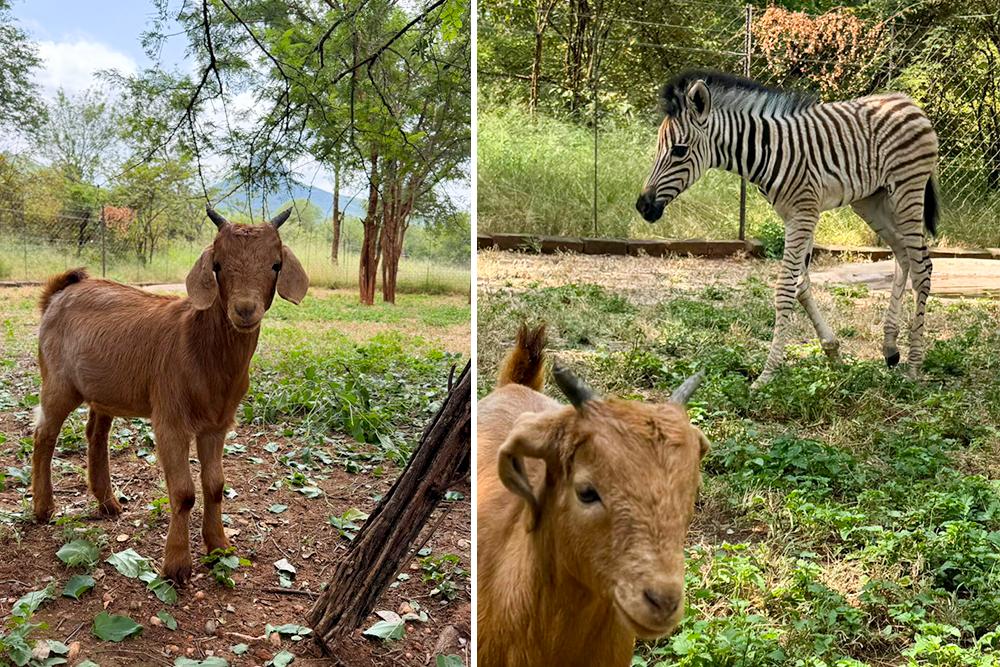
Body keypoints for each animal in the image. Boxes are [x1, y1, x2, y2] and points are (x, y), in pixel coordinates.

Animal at [31, 207, 308, 585]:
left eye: (276, 264)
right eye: (218, 264)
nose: (245, 310)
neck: (200, 346)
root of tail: (58, 294)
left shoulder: (217, 423)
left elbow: (215, 485)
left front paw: (219, 545)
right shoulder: (170, 419)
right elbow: (184, 492)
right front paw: (176, 565)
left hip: (103, 390)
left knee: (96, 434)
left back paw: (108, 502)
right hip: (57, 381)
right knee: (44, 434)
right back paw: (43, 508)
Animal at [636, 70, 939, 388]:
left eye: (679, 151)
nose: (643, 206)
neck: (766, 152)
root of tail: (907, 101)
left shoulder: (803, 214)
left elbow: (784, 289)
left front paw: (767, 374)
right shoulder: (794, 216)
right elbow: (801, 285)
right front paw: (832, 352)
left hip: (907, 191)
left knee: (922, 266)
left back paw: (914, 365)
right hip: (870, 200)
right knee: (903, 255)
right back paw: (891, 349)